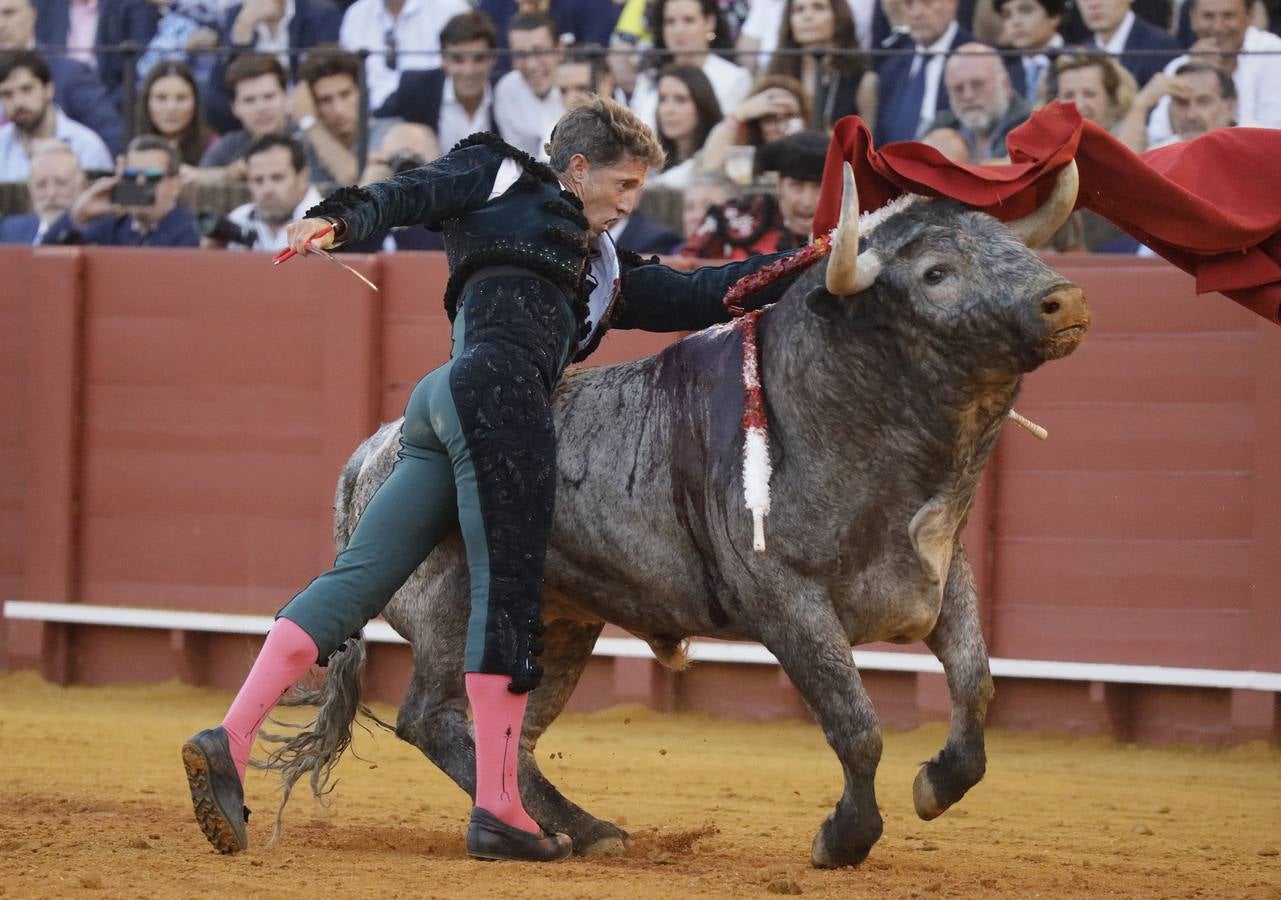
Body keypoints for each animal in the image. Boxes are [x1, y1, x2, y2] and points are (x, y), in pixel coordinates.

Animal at [260, 161, 1091, 865]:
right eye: (935, 273)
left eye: (1009, 243)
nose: (1066, 301)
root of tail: (379, 445)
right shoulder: (786, 602)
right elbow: (855, 723)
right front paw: (844, 838)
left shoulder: (943, 573)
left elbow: (975, 685)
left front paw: (938, 783)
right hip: (453, 606)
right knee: (433, 718)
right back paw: (528, 832)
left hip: (560, 621)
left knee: (511, 731)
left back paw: (573, 827)